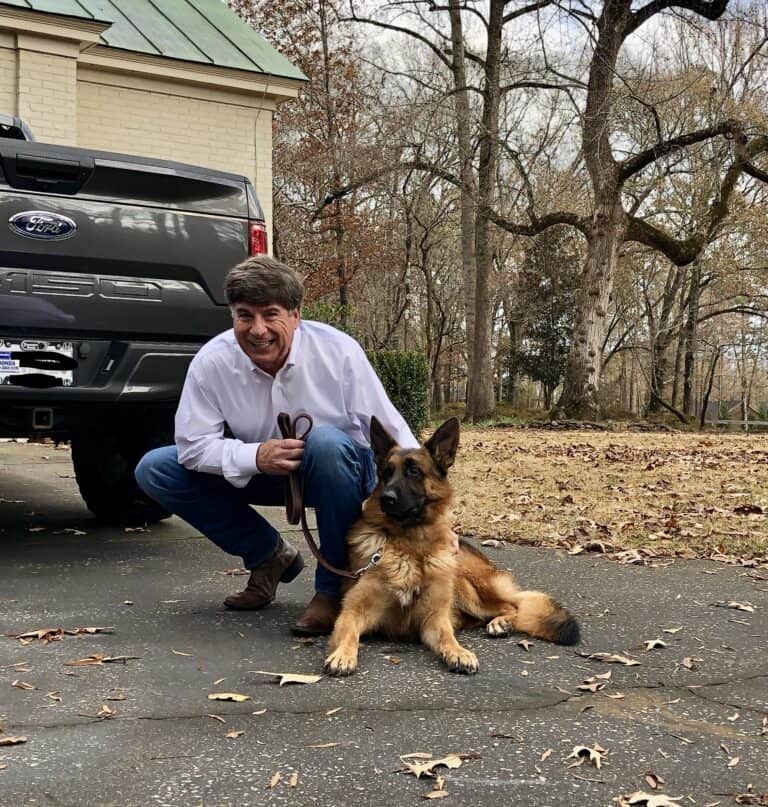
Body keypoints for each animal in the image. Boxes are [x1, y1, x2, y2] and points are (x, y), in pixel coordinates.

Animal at [320, 416, 580, 676]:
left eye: (413, 470)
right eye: (386, 472)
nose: (386, 498)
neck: (410, 544)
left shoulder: (434, 617)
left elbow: (447, 636)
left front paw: (459, 652)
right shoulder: (353, 611)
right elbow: (349, 632)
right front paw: (343, 655)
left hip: (466, 585)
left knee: (513, 605)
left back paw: (500, 623)